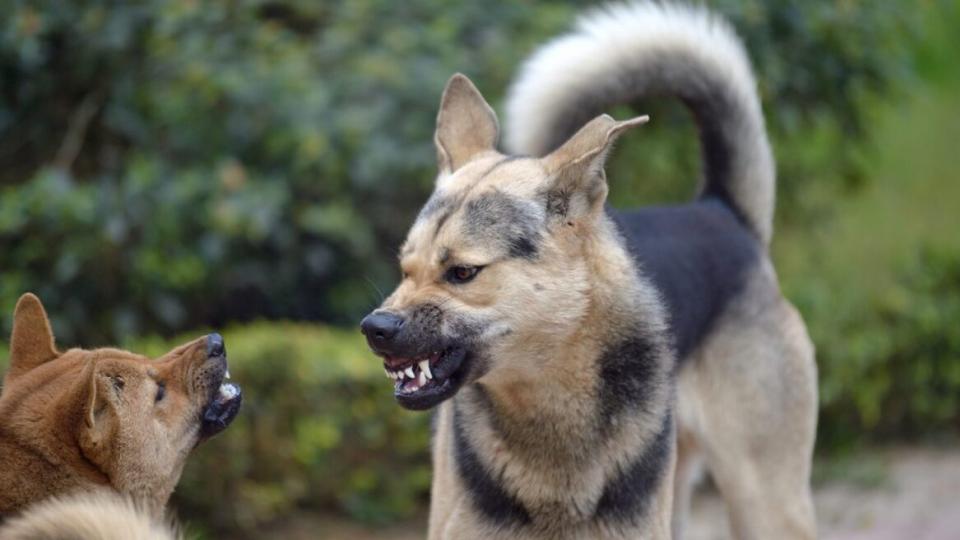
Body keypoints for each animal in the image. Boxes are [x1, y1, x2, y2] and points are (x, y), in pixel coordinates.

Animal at [364, 4, 812, 540]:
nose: (374, 328)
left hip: (766, 498)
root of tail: (722, 213)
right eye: (404, 268)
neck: (548, 399)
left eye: (463, 272)